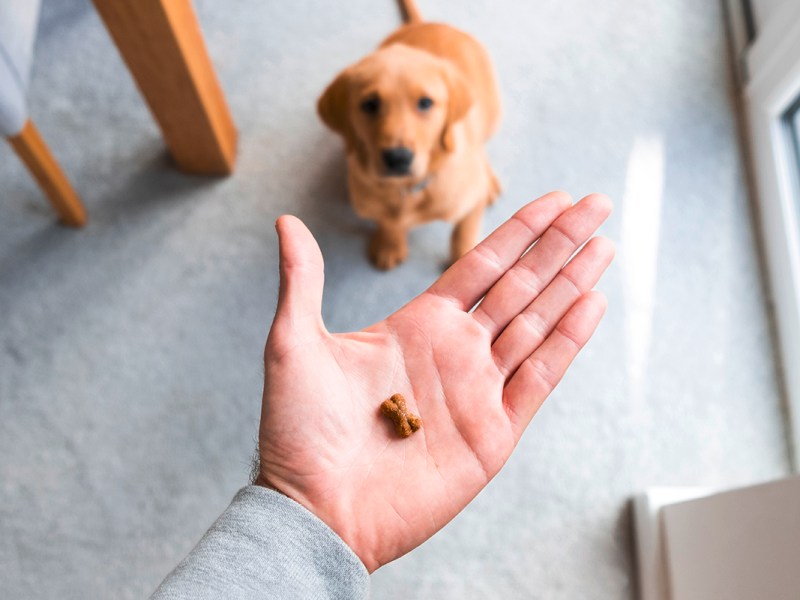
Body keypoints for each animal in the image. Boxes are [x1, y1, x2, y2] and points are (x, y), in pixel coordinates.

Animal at [318, 0, 500, 268]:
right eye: (369, 105)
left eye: (425, 103)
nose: (398, 158)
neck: (407, 190)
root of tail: (428, 23)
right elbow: (387, 220)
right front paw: (390, 243)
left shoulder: (470, 203)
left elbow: (463, 231)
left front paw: (461, 255)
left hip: (493, 112)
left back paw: (490, 180)